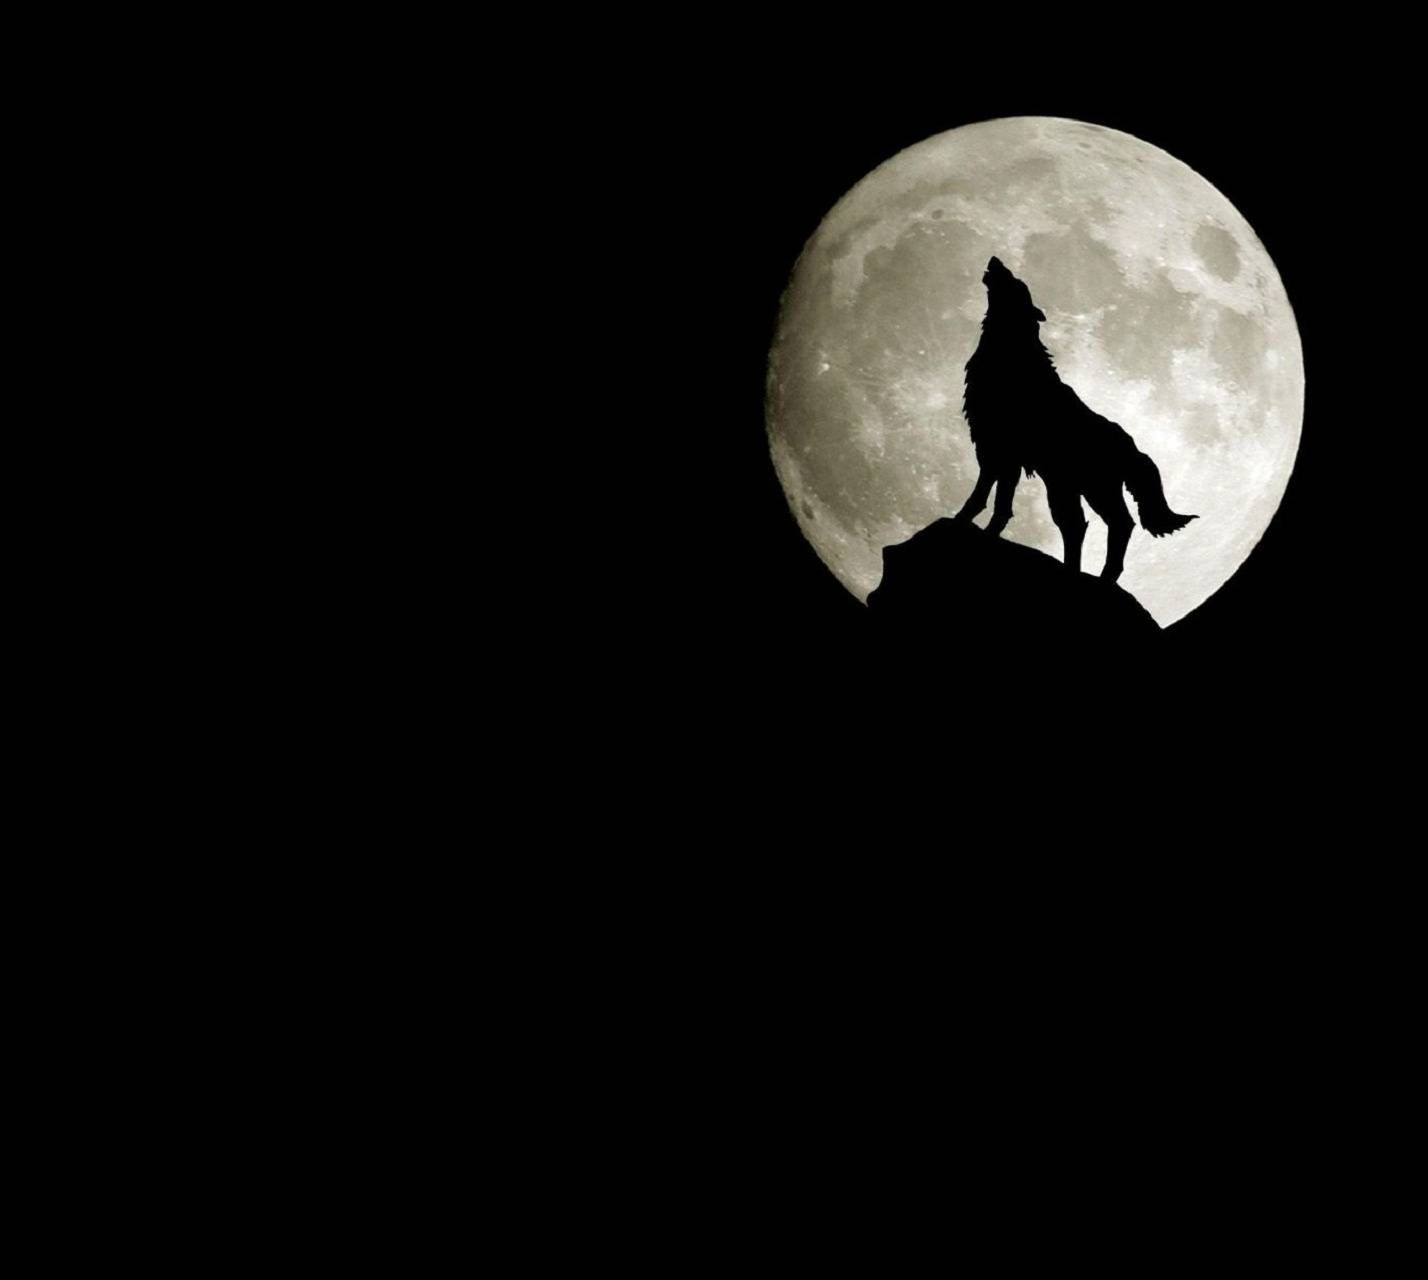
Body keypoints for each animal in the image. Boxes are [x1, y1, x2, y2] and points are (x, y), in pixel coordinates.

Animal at [956, 257, 1196, 581]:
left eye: (1016, 283)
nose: (996, 260)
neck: (1012, 353)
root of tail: (1132, 445)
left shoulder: (996, 448)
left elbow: (983, 495)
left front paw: (962, 521)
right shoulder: (1006, 457)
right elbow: (1001, 503)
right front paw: (987, 531)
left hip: (1090, 488)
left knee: (1115, 524)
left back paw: (1101, 576)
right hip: (1067, 487)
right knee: (1078, 525)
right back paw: (1082, 571)